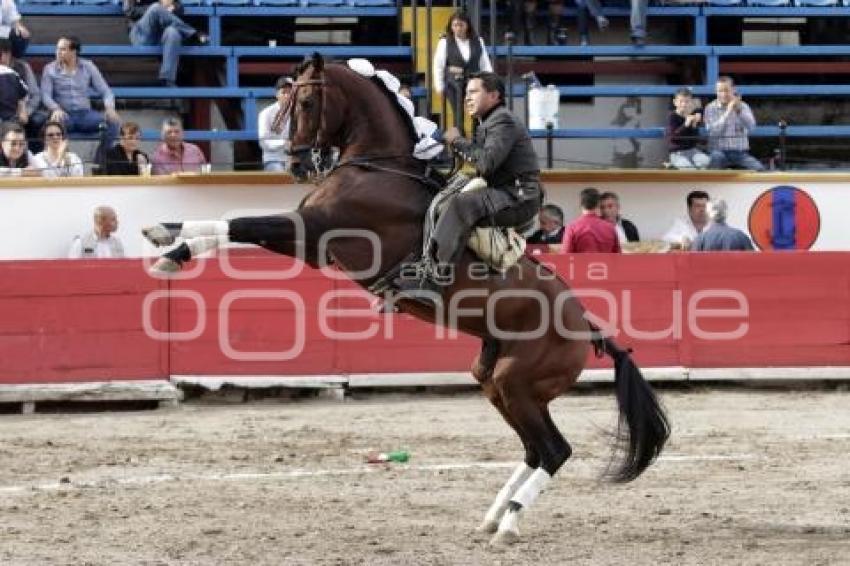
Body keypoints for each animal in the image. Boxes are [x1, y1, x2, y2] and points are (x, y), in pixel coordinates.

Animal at [141, 55, 668, 548]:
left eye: (307, 102)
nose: (296, 163)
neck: (375, 167)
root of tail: (589, 326)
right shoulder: (310, 243)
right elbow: (229, 222)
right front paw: (163, 235)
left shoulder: (313, 232)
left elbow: (241, 222)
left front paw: (172, 254)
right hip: (498, 381)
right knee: (536, 450)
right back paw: (493, 515)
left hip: (516, 382)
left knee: (556, 451)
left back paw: (509, 523)